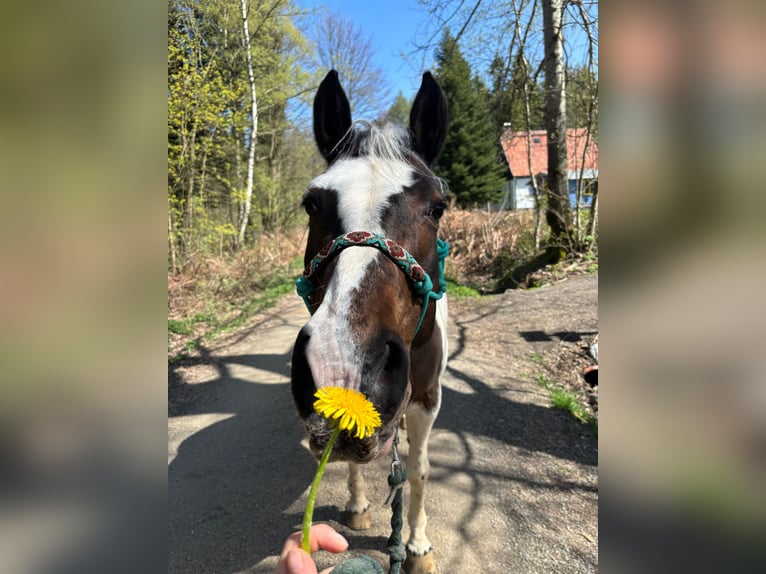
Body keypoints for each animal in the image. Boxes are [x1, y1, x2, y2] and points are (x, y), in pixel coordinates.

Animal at [292, 68, 450, 574]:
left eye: (437, 206)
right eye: (312, 204)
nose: (344, 366)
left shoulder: (427, 398)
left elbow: (418, 472)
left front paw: (417, 544)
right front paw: (358, 505)